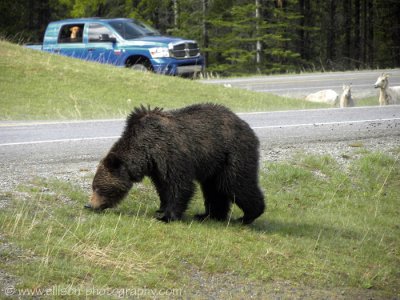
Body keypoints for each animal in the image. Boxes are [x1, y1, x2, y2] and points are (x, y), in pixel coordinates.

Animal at [85, 104, 266, 224]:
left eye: (98, 188)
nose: (90, 205)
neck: (145, 151)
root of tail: (246, 125)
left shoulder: (171, 154)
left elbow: (179, 184)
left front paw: (167, 216)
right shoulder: (156, 167)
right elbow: (163, 188)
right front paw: (161, 209)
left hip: (233, 154)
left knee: (235, 184)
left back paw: (248, 216)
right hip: (214, 163)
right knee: (213, 188)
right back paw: (209, 215)